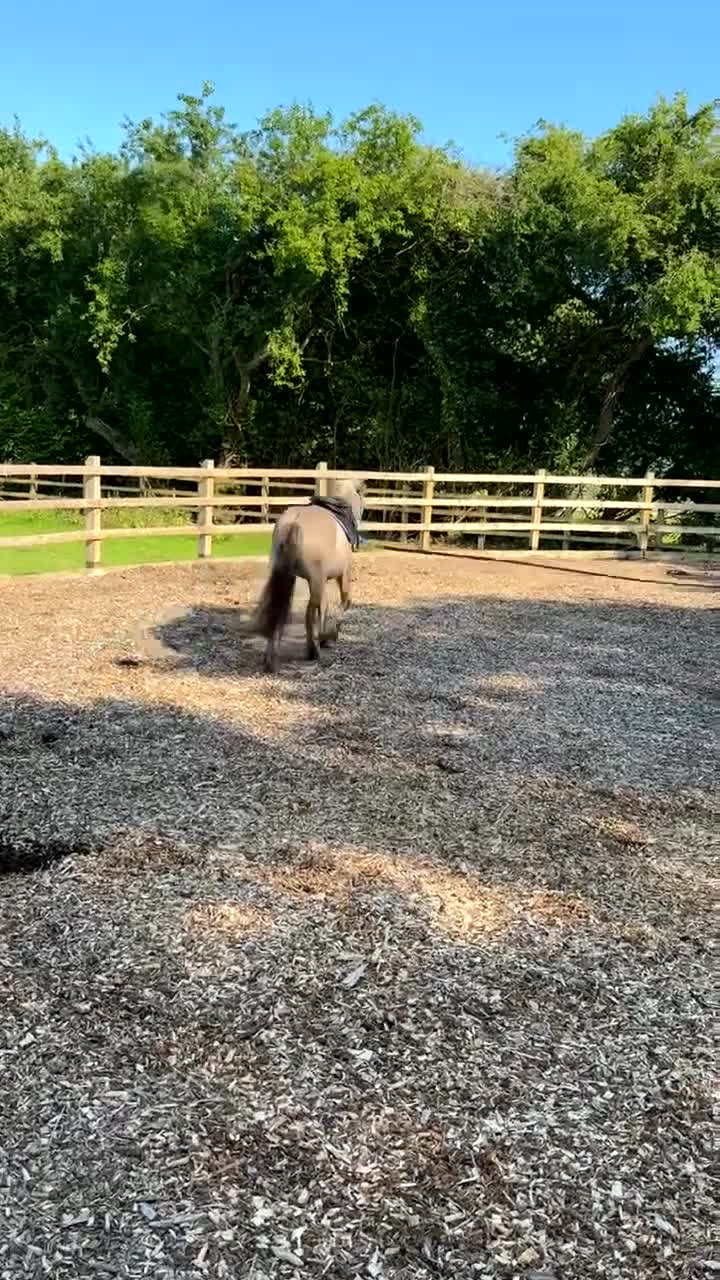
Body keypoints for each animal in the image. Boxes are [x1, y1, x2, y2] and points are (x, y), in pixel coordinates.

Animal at [252, 477, 366, 673]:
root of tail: (294, 522)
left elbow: (326, 607)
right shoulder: (342, 575)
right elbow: (343, 603)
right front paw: (329, 635)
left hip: (286, 575)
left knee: (280, 611)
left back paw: (271, 659)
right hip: (316, 581)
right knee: (309, 612)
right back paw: (313, 649)